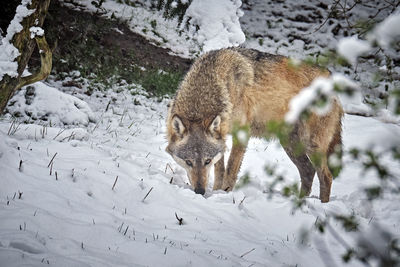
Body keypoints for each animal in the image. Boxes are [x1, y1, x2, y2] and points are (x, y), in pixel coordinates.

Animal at [166, 48, 344, 203]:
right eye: (188, 162)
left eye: (207, 161)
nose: (199, 191)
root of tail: (331, 80)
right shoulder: (222, 138)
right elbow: (220, 170)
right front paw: (216, 192)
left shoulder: (241, 133)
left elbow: (230, 170)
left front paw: (224, 194)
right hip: (290, 144)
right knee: (308, 171)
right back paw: (299, 202)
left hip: (311, 145)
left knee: (326, 176)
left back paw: (323, 206)